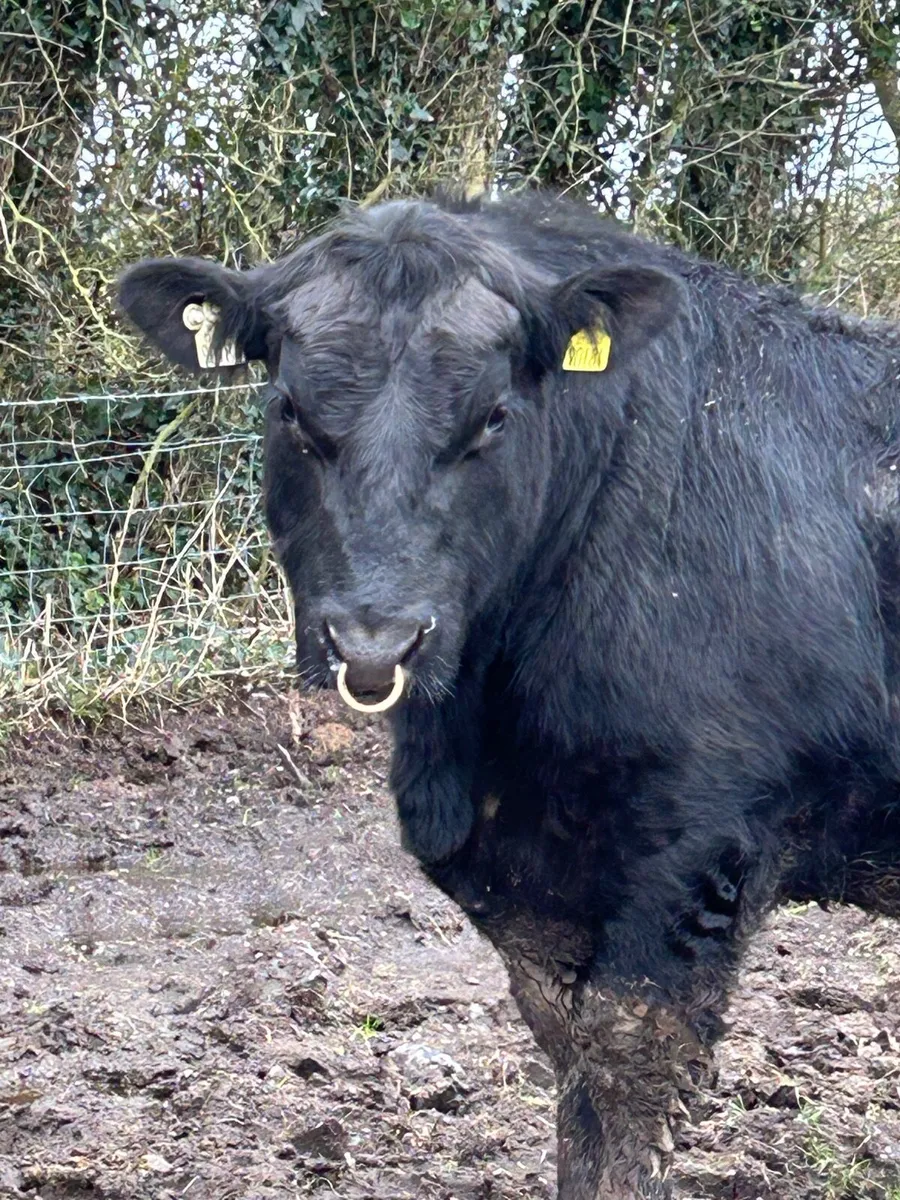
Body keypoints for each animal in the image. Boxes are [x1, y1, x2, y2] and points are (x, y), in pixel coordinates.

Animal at [119, 190, 900, 1199]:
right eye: (289, 409)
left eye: (493, 418)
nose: (374, 641)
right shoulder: (538, 882)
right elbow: (572, 1074)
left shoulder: (699, 845)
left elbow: (627, 1073)